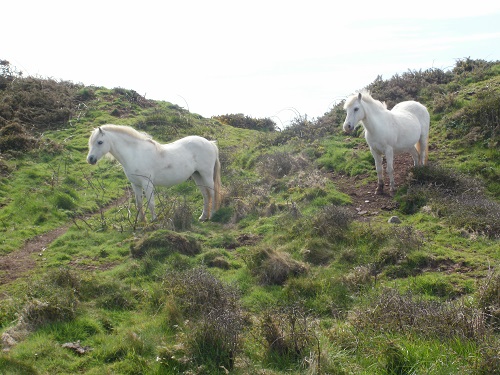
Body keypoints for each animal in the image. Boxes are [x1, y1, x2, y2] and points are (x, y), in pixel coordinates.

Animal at [87, 125, 222, 222]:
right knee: (205, 195)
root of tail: (210, 143)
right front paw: (142, 221)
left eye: (99, 142)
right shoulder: (135, 184)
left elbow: (151, 202)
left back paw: (213, 215)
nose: (90, 159)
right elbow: (139, 203)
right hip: (197, 175)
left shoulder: (147, 183)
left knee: (212, 193)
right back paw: (203, 217)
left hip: (206, 174)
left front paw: (154, 220)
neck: (134, 153)